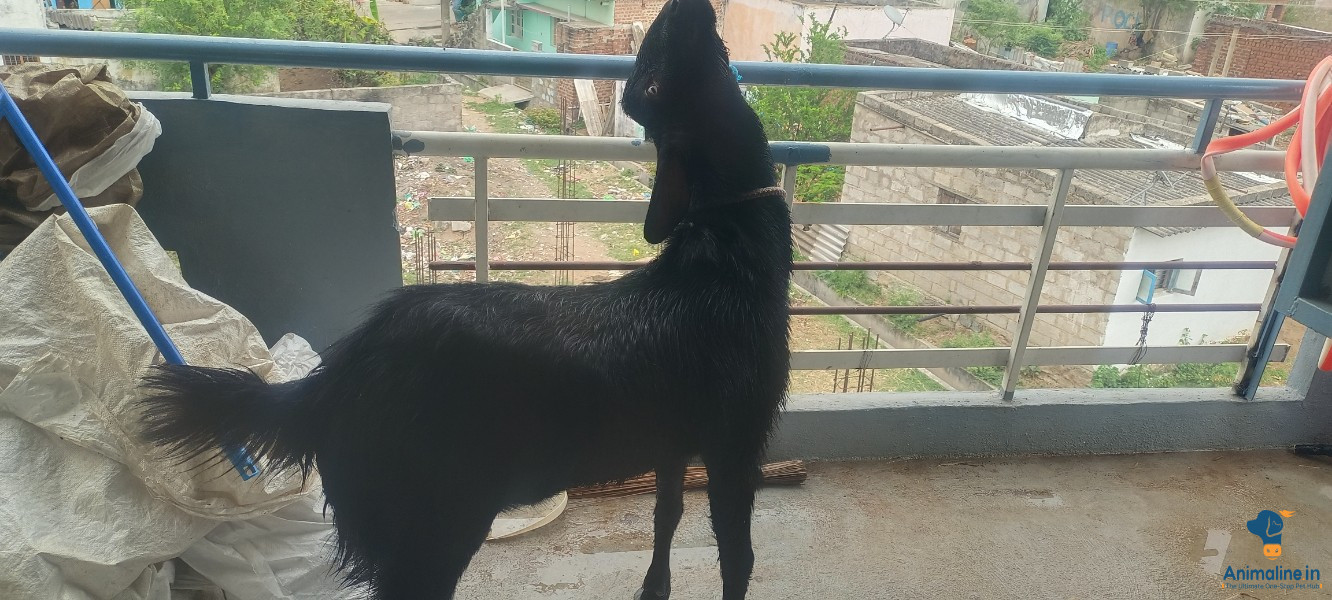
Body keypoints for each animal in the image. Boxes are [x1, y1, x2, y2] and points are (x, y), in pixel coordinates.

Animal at [137, 0, 791, 597]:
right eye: (648, 82)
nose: (685, 5)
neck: (724, 247)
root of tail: (336, 378)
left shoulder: (674, 440)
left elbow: (666, 518)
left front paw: (653, 588)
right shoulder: (737, 439)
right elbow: (739, 557)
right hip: (433, 521)